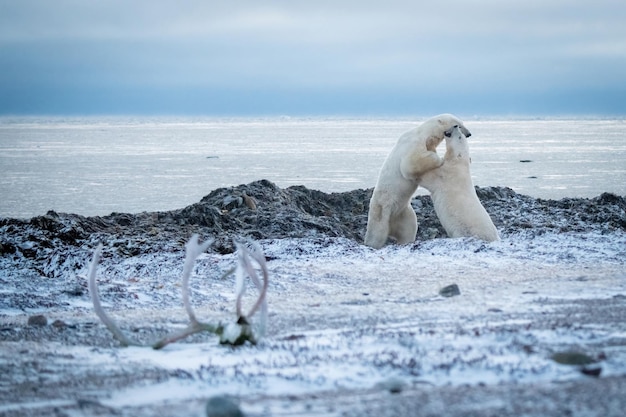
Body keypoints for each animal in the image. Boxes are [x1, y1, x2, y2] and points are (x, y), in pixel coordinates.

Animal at [364, 114, 470, 247]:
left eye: (461, 123)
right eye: (458, 124)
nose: (469, 134)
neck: (424, 134)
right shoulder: (414, 143)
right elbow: (409, 164)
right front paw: (439, 159)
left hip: (403, 212)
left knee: (409, 228)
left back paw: (406, 241)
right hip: (382, 209)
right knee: (377, 232)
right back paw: (372, 244)